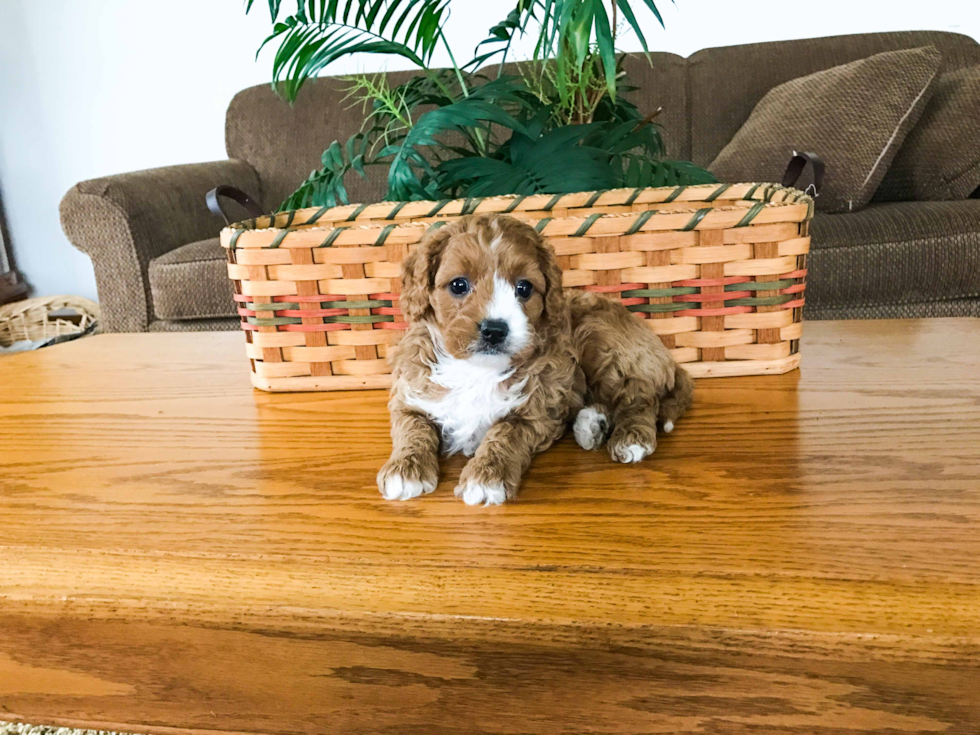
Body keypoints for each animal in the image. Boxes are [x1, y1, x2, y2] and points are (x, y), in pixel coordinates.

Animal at [374, 213, 688, 506]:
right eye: (458, 285)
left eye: (524, 288)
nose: (494, 330)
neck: (477, 370)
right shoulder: (409, 395)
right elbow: (412, 429)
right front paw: (405, 470)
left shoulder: (537, 410)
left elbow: (505, 432)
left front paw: (487, 477)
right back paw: (591, 425)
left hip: (603, 344)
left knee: (638, 398)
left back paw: (631, 438)